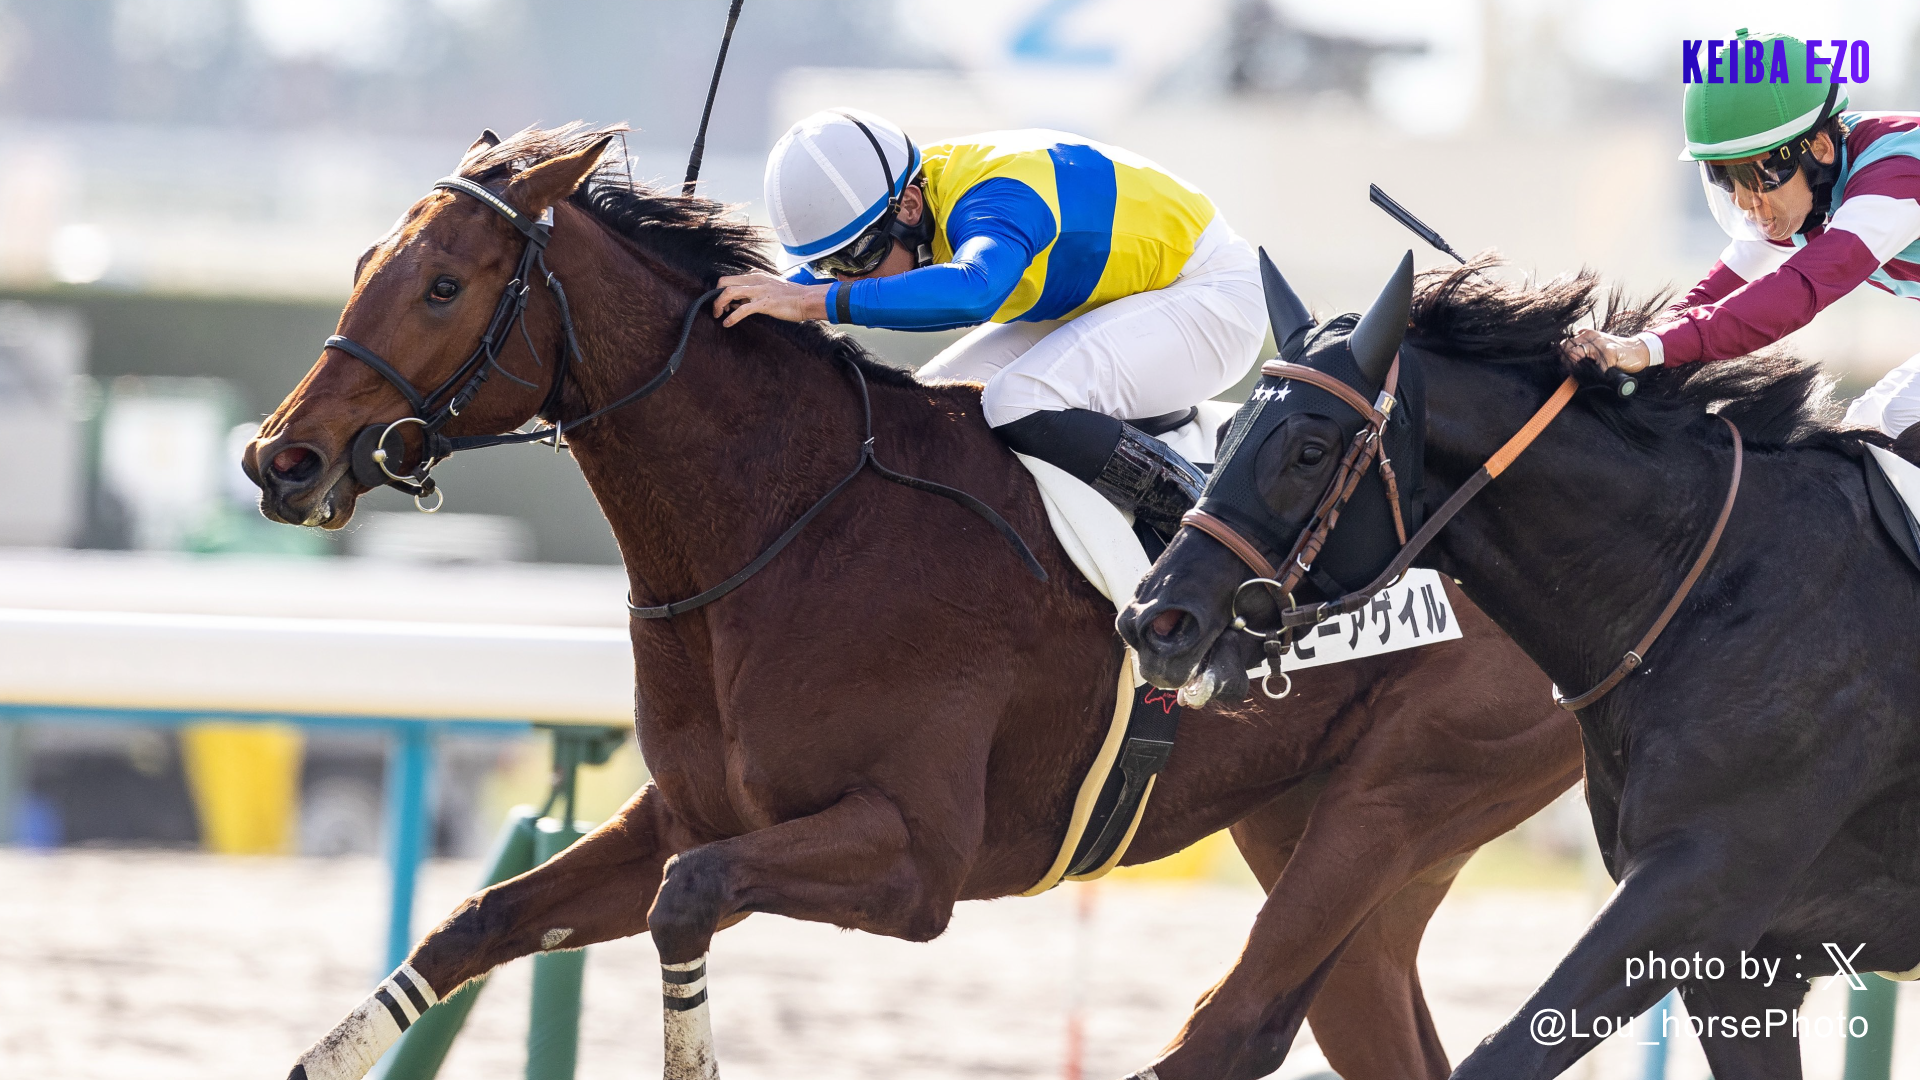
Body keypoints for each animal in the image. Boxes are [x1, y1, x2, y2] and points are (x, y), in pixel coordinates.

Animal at [243, 124, 1578, 1080]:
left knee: (1239, 1024)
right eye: (364, 267)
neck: (785, 525)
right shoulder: (684, 815)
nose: (280, 460)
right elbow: (474, 924)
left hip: (1404, 796)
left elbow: (691, 903)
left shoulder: (916, 860)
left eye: (443, 286)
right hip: (1312, 827)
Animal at [1121, 252, 1920, 1080]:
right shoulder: (1743, 966)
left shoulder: (1699, 888)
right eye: (1229, 431)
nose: (1157, 620)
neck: (1718, 584)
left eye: (1309, 450)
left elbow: (1500, 1054)